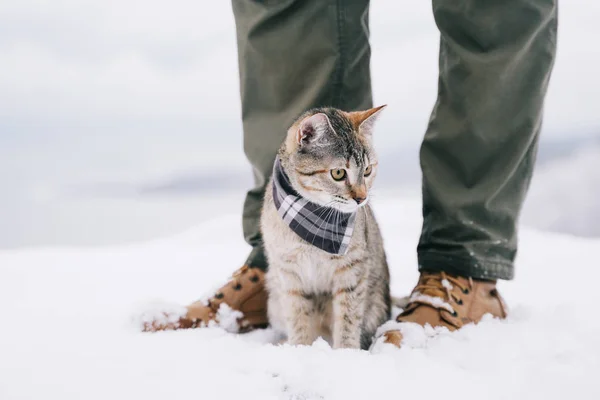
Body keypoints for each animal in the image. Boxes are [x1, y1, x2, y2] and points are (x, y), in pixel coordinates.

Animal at [260, 104, 392, 348]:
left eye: (367, 171)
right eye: (338, 173)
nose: (361, 198)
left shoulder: (352, 269)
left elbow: (348, 318)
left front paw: (345, 352)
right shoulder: (289, 273)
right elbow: (298, 318)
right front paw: (299, 348)